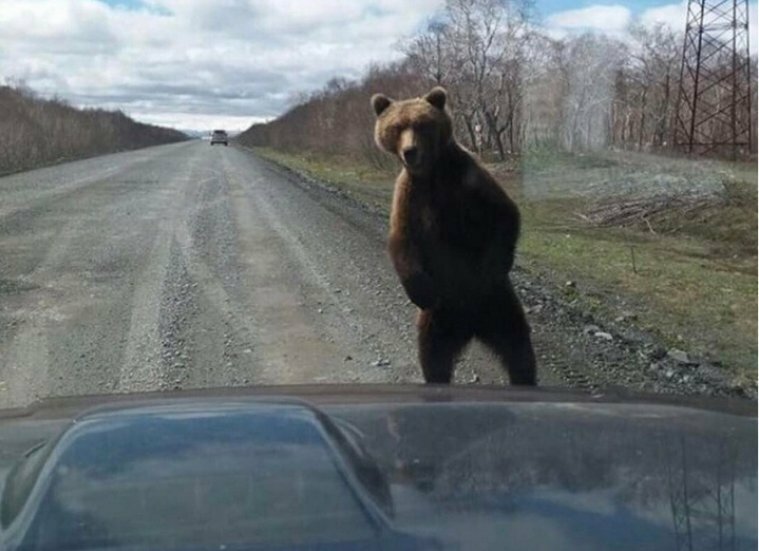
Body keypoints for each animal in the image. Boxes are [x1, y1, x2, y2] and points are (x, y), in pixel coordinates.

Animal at [372, 87, 536, 388]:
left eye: (422, 124)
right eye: (397, 127)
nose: (410, 151)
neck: (432, 174)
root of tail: (470, 325)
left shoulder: (468, 180)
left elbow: (505, 214)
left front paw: (492, 266)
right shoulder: (410, 196)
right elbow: (402, 240)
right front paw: (419, 289)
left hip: (501, 306)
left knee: (517, 347)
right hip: (437, 318)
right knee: (433, 355)